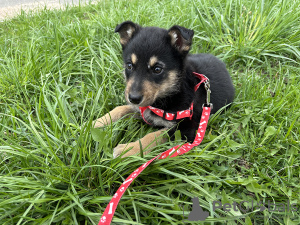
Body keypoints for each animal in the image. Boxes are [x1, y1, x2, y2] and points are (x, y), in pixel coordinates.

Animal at [93, 21, 234, 158]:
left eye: (157, 69)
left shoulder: (187, 128)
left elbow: (154, 136)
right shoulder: (143, 109)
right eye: (129, 66)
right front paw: (96, 123)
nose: (133, 98)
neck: (169, 93)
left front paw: (129, 149)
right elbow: (120, 109)